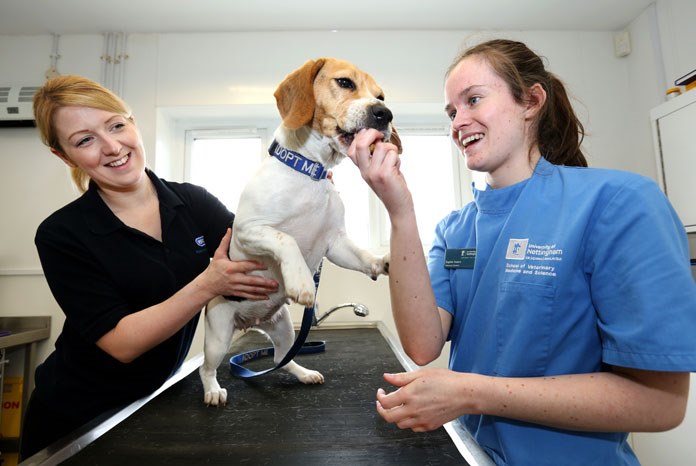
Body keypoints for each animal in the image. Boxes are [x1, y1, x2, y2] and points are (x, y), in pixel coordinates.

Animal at [196, 58, 402, 406]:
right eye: (345, 83)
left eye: (381, 96)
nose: (384, 114)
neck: (311, 173)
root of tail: (251, 323)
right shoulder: (249, 230)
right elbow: (286, 238)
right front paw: (303, 281)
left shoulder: (335, 243)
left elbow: (361, 255)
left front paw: (380, 263)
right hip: (218, 337)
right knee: (206, 368)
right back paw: (212, 391)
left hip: (284, 329)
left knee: (283, 358)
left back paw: (304, 374)